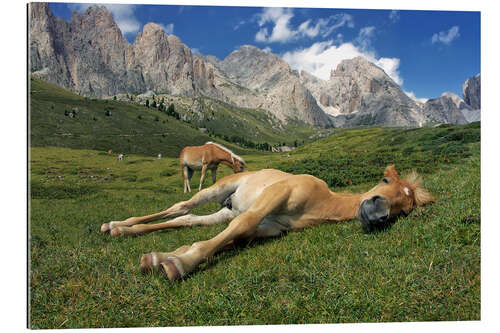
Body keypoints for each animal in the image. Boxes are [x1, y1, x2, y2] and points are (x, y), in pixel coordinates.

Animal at [100, 165, 434, 282]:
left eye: (405, 208)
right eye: (385, 181)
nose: (378, 215)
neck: (320, 202)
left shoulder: (267, 229)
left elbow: (234, 238)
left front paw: (162, 258)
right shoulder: (273, 198)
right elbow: (238, 229)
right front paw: (179, 265)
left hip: (224, 211)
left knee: (188, 219)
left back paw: (124, 230)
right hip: (218, 190)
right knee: (180, 207)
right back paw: (117, 224)